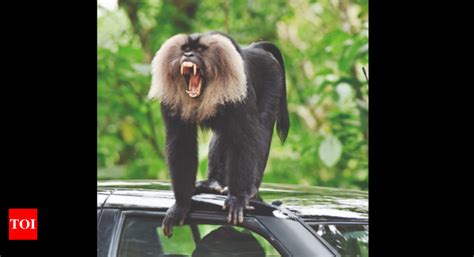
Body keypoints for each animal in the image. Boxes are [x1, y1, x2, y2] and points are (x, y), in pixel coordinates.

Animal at [148, 31, 288, 235]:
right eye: (186, 49)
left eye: (199, 50)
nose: (188, 55)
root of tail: (255, 49)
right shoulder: (171, 102)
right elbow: (181, 144)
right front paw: (181, 206)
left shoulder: (240, 89)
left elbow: (245, 138)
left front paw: (238, 198)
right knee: (221, 137)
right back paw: (213, 184)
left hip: (273, 79)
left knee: (261, 127)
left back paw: (251, 189)